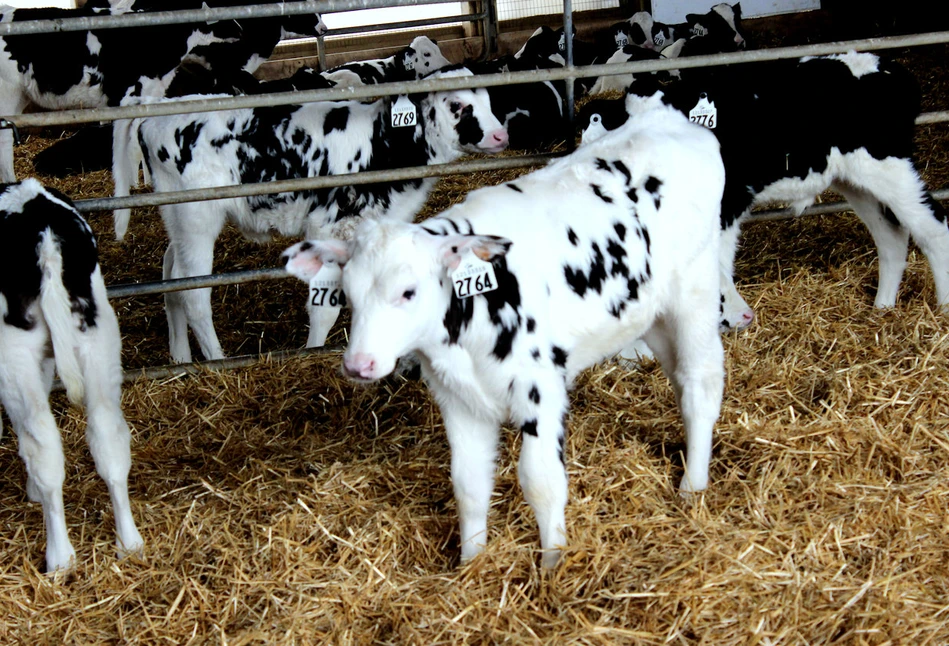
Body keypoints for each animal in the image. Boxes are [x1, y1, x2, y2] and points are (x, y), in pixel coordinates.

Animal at [0, 177, 144, 572]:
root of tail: (44, 233)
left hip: (14, 352)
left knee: (44, 443)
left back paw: (60, 557)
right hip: (98, 337)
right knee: (108, 434)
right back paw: (129, 543)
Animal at [116, 69, 512, 370]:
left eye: (489, 101)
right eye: (456, 105)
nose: (500, 135)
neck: (382, 144)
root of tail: (159, 109)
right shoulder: (329, 226)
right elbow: (324, 306)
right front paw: (314, 352)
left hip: (177, 217)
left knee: (171, 276)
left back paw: (180, 358)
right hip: (196, 216)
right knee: (193, 291)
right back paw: (216, 359)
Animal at [282, 93, 724, 568]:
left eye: (408, 291)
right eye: (348, 293)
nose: (359, 364)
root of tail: (668, 117)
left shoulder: (541, 388)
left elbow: (542, 481)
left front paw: (552, 564)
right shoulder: (457, 398)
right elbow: (469, 485)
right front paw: (470, 563)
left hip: (696, 291)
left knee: (700, 383)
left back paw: (692, 486)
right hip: (651, 314)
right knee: (678, 379)